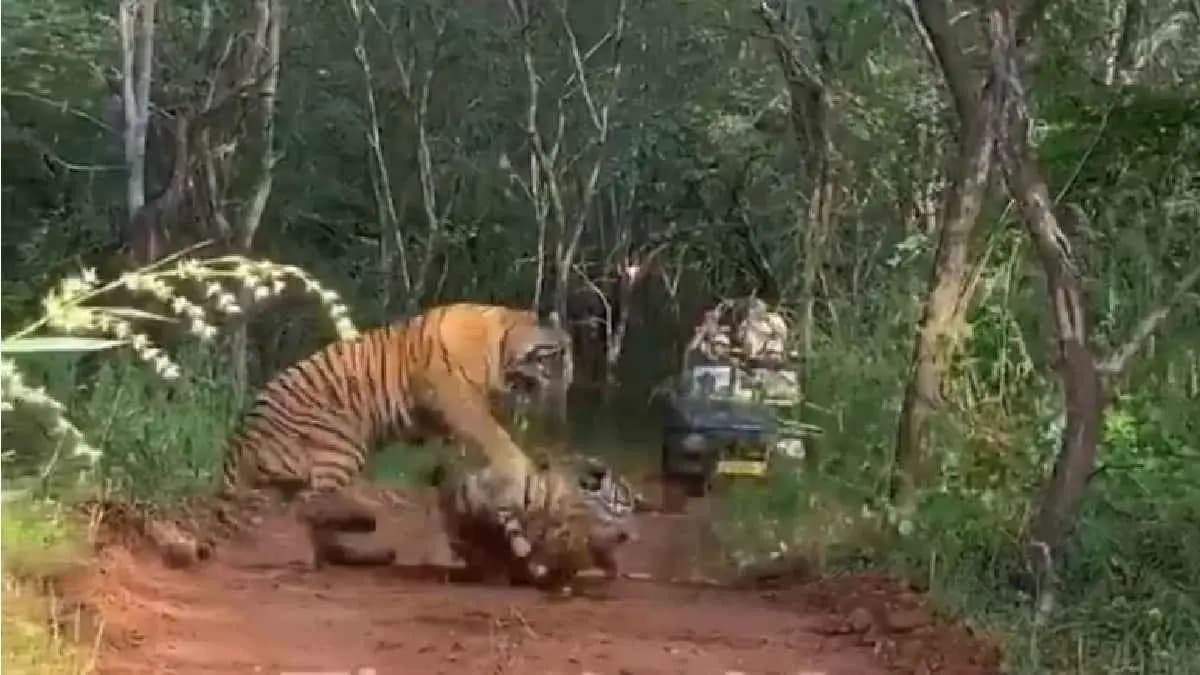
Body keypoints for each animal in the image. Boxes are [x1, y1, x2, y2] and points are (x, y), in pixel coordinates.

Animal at [215, 302, 573, 566]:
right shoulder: (457, 400)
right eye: (556, 355)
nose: (568, 385)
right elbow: (497, 438)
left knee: (310, 514)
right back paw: (362, 521)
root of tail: (241, 437)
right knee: (311, 505)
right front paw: (518, 472)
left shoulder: (446, 425)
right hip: (343, 445)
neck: (501, 345)